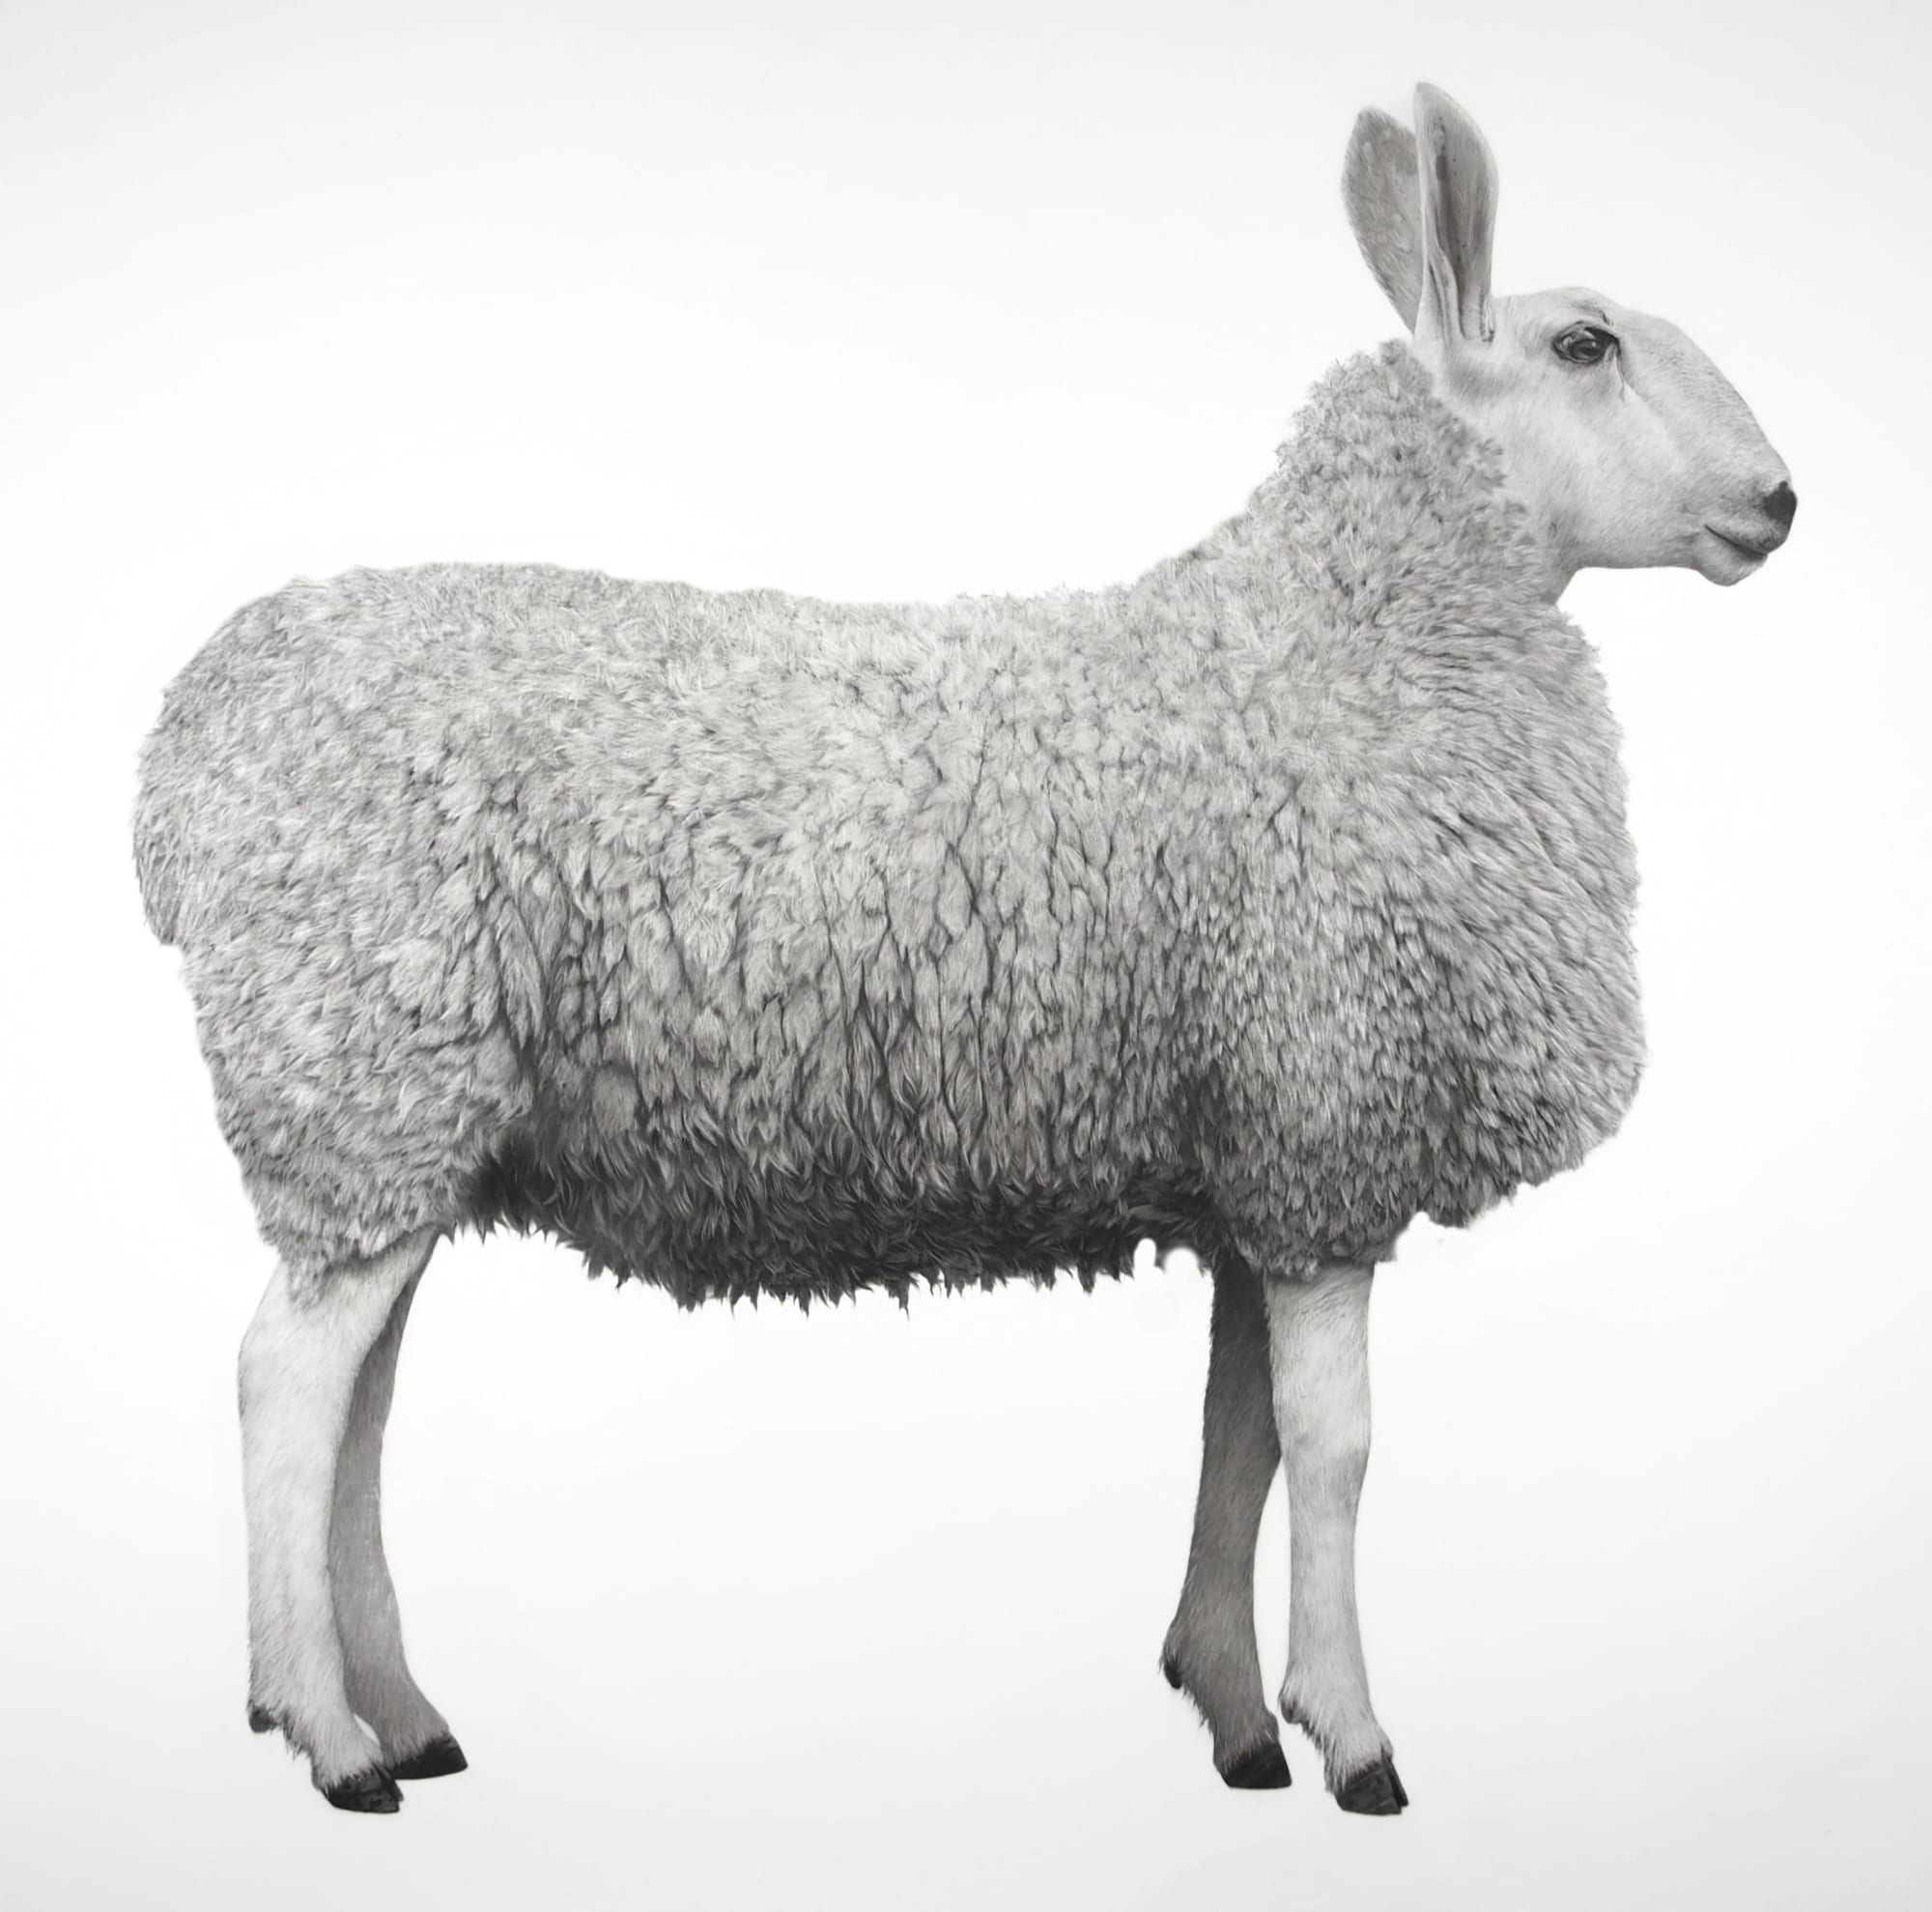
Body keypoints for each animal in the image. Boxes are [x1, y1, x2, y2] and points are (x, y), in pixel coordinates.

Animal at [133, 82, 1794, 1817]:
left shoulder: (1246, 1158)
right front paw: (1350, 1732)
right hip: (361, 1061)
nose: (1780, 500)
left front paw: (1230, 1705)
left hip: (409, 1119)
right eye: (1585, 344)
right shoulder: (1318, 1124)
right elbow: (1335, 1450)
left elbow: (1241, 1434)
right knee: (286, 1384)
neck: (1332, 643)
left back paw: (393, 1706)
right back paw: (327, 1735)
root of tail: (186, 747)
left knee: (360, 1403)